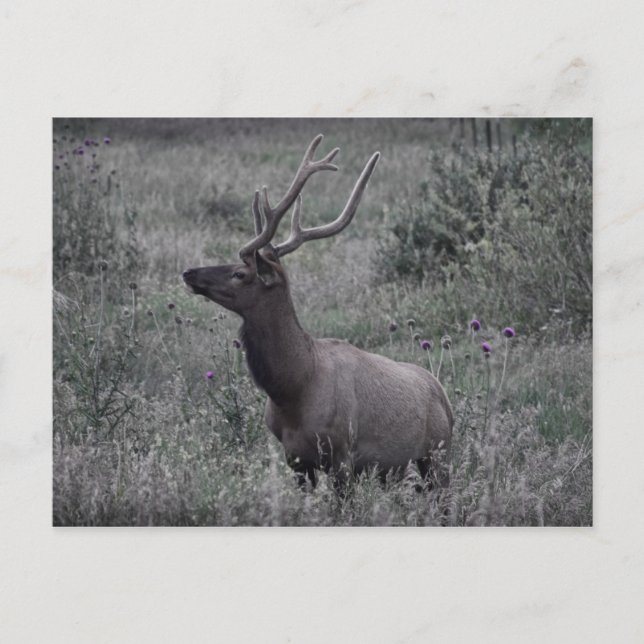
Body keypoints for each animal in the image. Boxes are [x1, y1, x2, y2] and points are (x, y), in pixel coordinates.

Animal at [182, 134, 453, 490]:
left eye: (240, 273)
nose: (188, 272)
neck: (293, 389)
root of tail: (445, 397)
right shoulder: (295, 459)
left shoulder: (342, 454)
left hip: (439, 453)